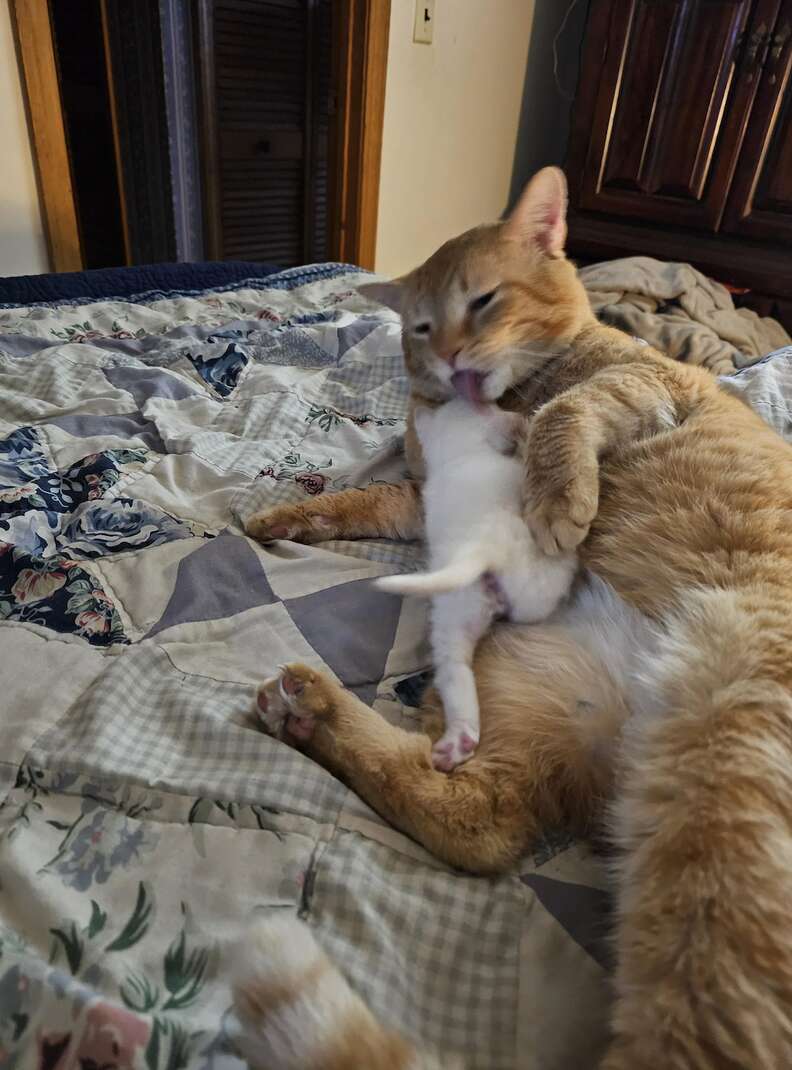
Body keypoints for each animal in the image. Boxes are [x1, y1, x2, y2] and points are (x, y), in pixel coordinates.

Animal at [376, 400, 573, 770]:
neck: (463, 450)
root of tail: (483, 546)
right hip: (533, 594)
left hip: (453, 614)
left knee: (454, 670)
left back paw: (457, 742)